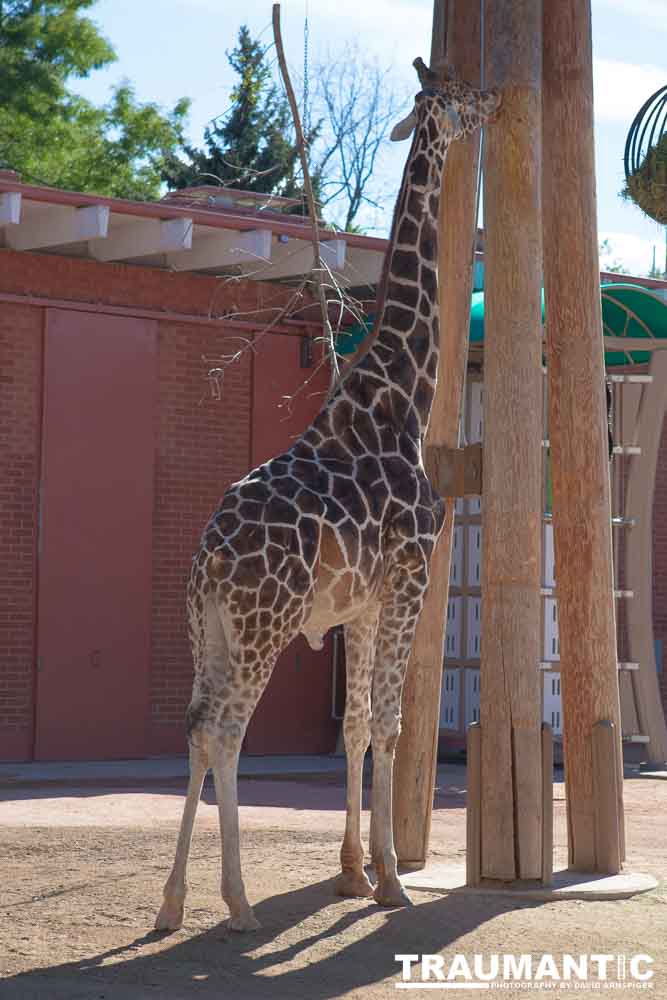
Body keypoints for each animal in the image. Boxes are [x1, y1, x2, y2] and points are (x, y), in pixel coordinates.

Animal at [158, 62, 500, 932]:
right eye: (458, 93)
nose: (496, 100)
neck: (401, 395)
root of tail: (208, 559)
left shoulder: (361, 602)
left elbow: (352, 727)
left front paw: (353, 871)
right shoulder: (412, 580)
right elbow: (389, 722)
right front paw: (393, 881)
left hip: (206, 629)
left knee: (194, 728)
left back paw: (171, 903)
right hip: (263, 626)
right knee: (227, 731)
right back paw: (236, 900)